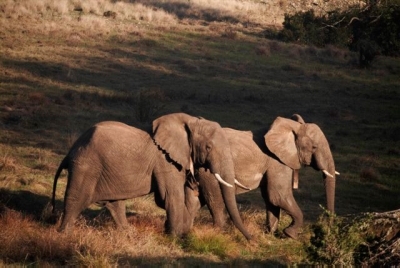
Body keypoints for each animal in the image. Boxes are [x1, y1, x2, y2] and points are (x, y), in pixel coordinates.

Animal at [51, 113, 252, 239]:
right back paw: (64, 235)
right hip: (86, 166)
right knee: (77, 199)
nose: (252, 239)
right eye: (208, 147)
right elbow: (170, 196)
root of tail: (71, 150)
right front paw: (175, 237)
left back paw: (128, 234)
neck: (189, 121)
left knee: (115, 203)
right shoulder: (165, 161)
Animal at [197, 114, 338, 240]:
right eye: (314, 147)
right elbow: (278, 196)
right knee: (215, 199)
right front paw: (289, 234)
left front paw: (271, 235)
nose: (329, 230)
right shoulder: (277, 162)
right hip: (209, 172)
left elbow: (270, 198)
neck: (293, 127)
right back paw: (216, 234)